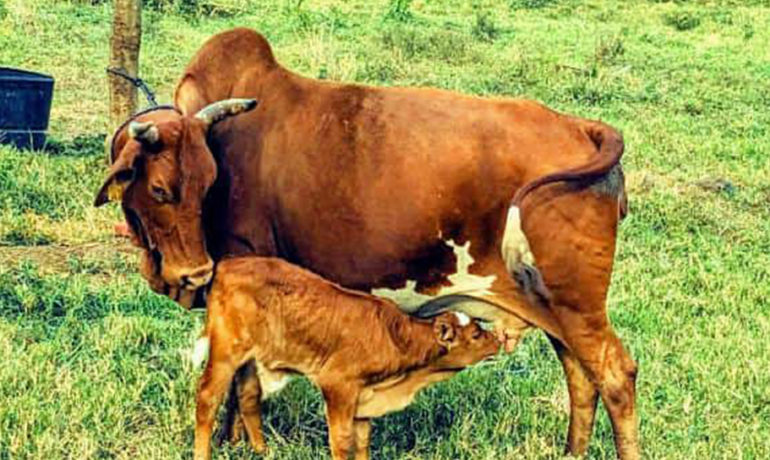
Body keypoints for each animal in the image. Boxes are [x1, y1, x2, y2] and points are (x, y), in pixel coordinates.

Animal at [195, 256, 500, 460]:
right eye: (475, 334)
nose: (498, 339)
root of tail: (228, 264)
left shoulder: (364, 395)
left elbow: (362, 440)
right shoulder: (338, 385)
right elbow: (342, 440)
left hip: (250, 357)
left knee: (248, 396)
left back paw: (263, 451)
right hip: (226, 351)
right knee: (207, 399)